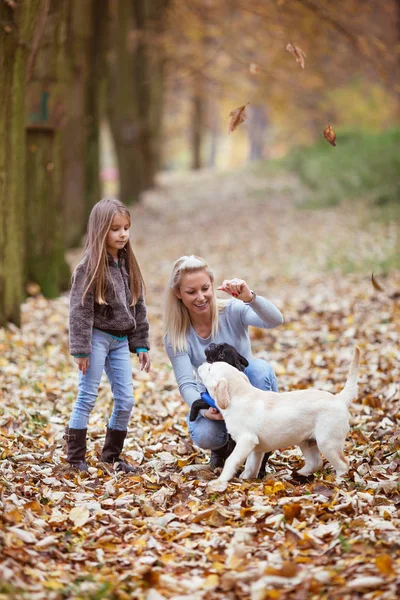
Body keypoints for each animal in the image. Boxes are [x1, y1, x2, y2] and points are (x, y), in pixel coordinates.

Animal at [198, 346, 360, 482]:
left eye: (210, 368)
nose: (201, 363)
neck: (238, 395)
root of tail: (339, 398)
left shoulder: (246, 440)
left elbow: (232, 460)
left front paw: (220, 481)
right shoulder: (256, 447)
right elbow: (251, 466)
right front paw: (246, 480)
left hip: (327, 442)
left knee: (343, 464)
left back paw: (338, 482)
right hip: (307, 441)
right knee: (316, 462)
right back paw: (295, 475)